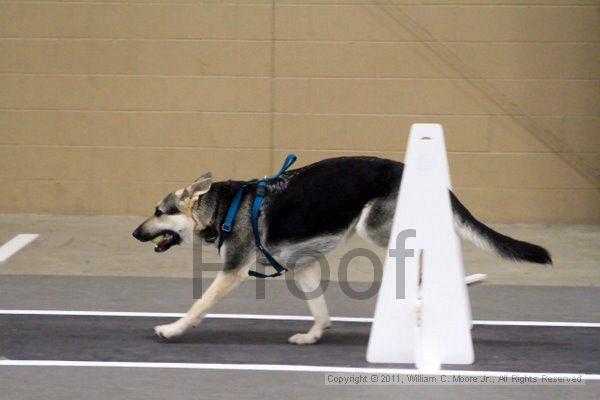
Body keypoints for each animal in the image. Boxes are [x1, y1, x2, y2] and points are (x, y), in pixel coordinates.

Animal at [134, 156, 552, 344]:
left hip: (378, 228)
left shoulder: (232, 271)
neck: (226, 206)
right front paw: (314, 335)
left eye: (159, 212)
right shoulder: (301, 267)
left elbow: (198, 305)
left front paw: (173, 328)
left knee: (425, 258)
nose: (136, 233)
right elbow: (319, 308)